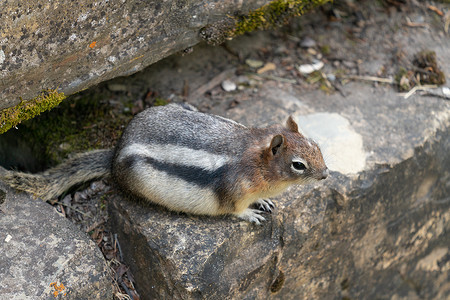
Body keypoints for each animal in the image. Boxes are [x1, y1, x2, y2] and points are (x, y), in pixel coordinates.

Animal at [1, 104, 328, 224]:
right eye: (298, 165)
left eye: (317, 146)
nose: (325, 174)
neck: (257, 161)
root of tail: (114, 154)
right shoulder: (234, 189)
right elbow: (234, 210)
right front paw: (250, 214)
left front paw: (264, 202)